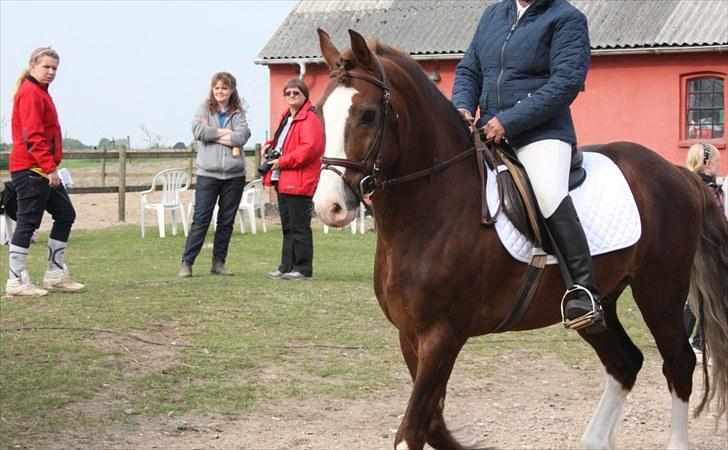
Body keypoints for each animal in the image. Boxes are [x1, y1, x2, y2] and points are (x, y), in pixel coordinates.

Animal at [312, 29, 728, 448]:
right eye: (319, 112)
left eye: (367, 114)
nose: (329, 206)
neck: (434, 208)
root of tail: (679, 174)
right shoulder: (410, 336)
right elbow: (433, 423)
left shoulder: (443, 335)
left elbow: (413, 429)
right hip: (600, 302)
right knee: (626, 363)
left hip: (660, 291)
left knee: (678, 362)